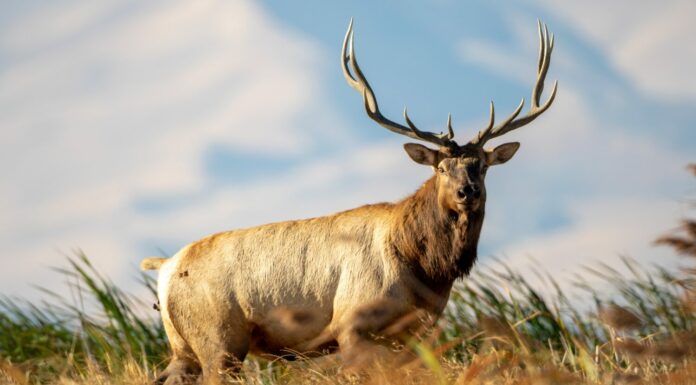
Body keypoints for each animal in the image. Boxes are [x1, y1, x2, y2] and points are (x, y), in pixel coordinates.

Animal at [144, 20, 556, 384]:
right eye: (441, 167)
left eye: (481, 166)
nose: (466, 192)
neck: (423, 270)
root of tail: (165, 269)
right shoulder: (351, 324)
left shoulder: (414, 334)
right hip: (219, 338)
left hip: (183, 345)